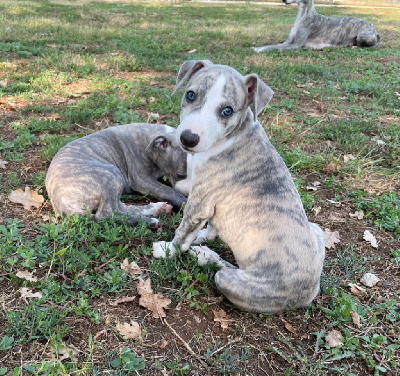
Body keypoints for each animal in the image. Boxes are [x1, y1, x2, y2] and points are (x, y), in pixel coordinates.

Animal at [45, 122, 192, 226]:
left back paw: (156, 209)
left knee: (120, 207)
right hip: (111, 174)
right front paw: (185, 203)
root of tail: (59, 200)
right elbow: (169, 190)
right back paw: (148, 221)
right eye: (180, 175)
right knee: (105, 214)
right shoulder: (141, 179)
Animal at [153, 61, 324, 314]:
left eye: (227, 111)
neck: (231, 137)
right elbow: (211, 225)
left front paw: (167, 250)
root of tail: (310, 293)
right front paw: (203, 235)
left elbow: (182, 233)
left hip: (233, 281)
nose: (188, 138)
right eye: (190, 94)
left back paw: (206, 256)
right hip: (316, 229)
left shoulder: (200, 201)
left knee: (226, 270)